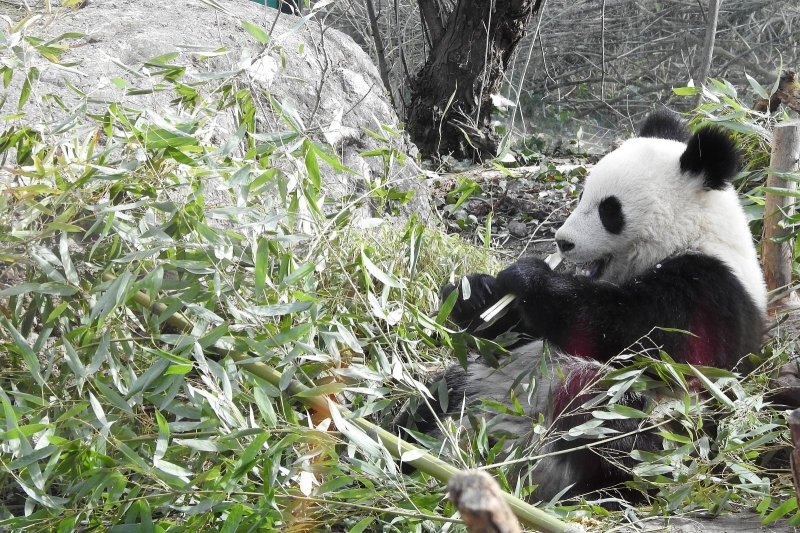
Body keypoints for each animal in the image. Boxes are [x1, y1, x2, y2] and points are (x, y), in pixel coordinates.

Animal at [400, 109, 768, 502]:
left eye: (610, 210)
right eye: (582, 195)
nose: (563, 242)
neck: (691, 233)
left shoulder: (710, 289)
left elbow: (633, 332)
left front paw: (531, 278)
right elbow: (512, 335)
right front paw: (476, 293)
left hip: (657, 419)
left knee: (618, 431)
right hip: (477, 385)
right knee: (435, 398)